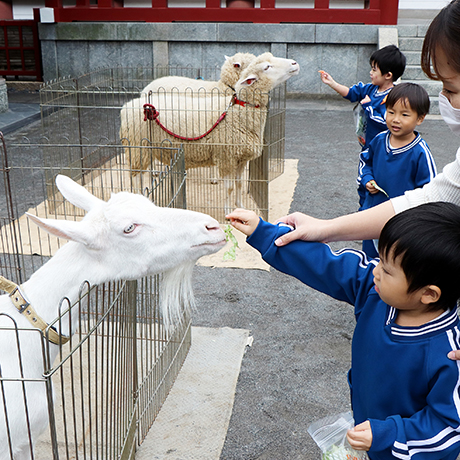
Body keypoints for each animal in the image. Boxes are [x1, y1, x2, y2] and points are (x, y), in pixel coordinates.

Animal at [121, 53, 302, 211]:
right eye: (267, 67)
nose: (295, 63)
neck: (238, 109)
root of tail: (129, 104)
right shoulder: (226, 156)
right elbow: (229, 187)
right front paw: (228, 212)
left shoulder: (241, 158)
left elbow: (239, 183)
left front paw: (240, 206)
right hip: (137, 148)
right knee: (135, 178)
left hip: (148, 147)